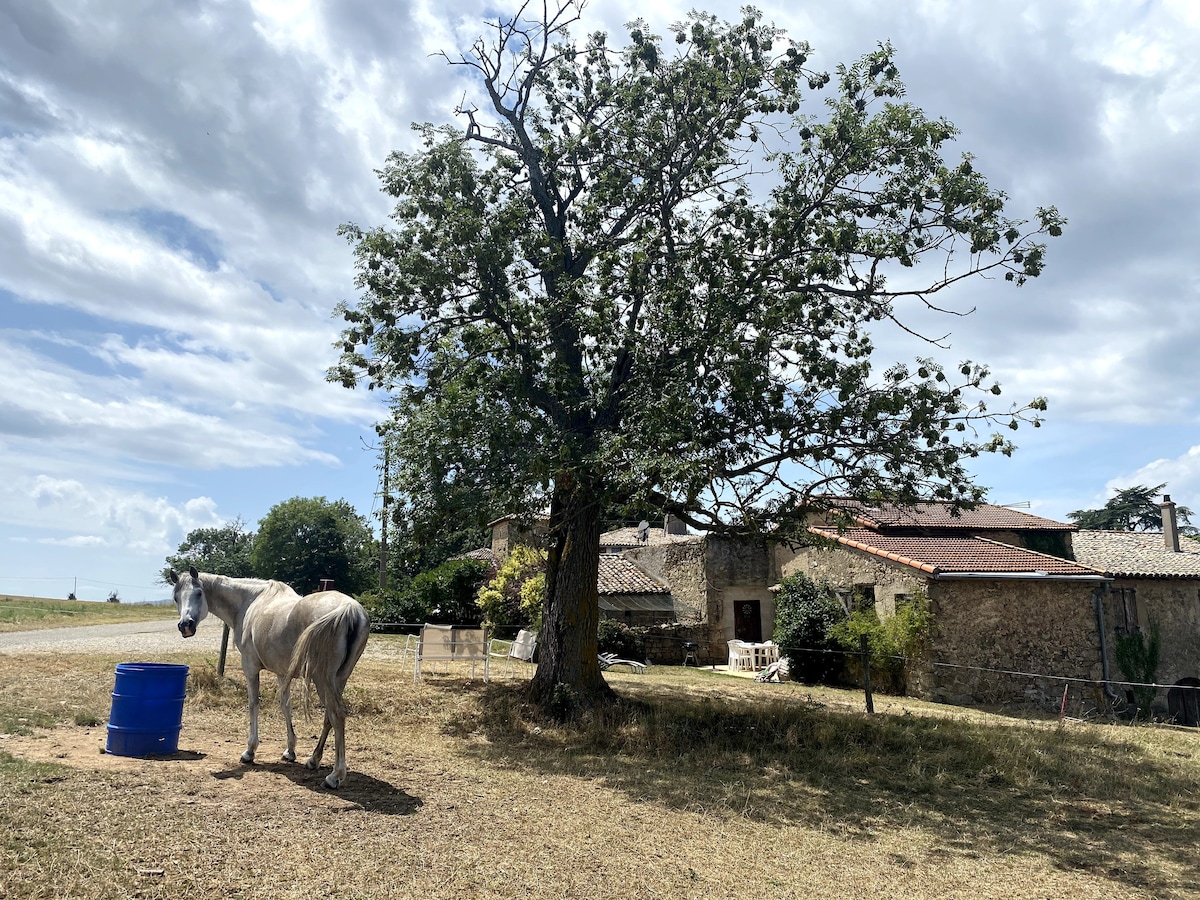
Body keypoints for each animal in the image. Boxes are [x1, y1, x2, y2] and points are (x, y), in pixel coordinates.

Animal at [166, 571, 367, 787]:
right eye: (176, 597)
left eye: (199, 593)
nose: (185, 625)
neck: (249, 601)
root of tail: (349, 610)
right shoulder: (282, 673)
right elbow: (286, 707)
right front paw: (290, 751)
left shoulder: (250, 667)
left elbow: (253, 704)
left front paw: (249, 751)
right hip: (339, 679)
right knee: (329, 718)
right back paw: (313, 760)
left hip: (322, 679)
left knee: (336, 716)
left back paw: (335, 776)